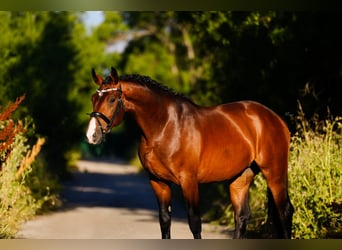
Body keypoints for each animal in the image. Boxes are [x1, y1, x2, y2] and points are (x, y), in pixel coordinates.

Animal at [85, 67, 294, 239]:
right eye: (93, 99)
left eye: (112, 99)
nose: (91, 135)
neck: (165, 126)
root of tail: (273, 117)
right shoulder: (158, 181)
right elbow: (164, 221)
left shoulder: (189, 181)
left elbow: (194, 223)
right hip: (241, 176)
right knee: (242, 217)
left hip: (274, 172)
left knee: (284, 211)